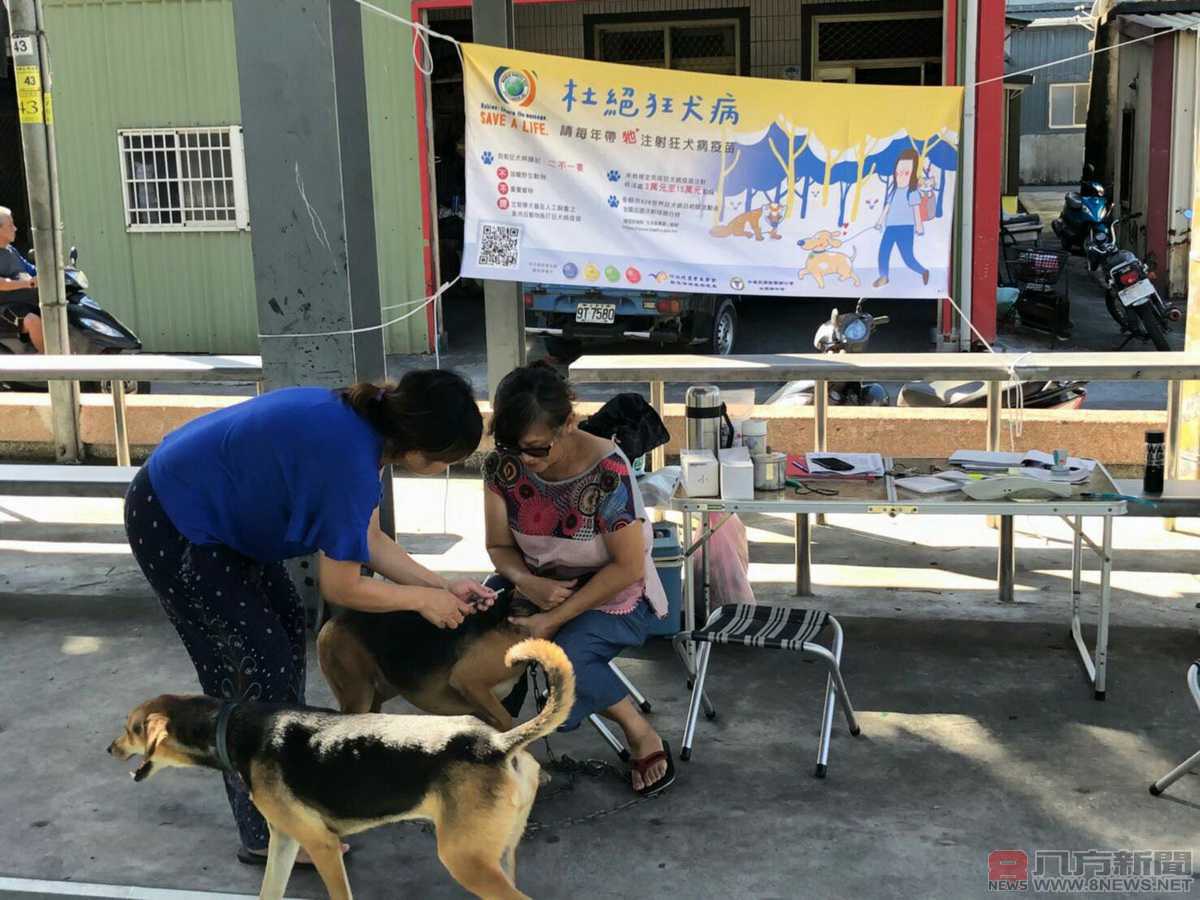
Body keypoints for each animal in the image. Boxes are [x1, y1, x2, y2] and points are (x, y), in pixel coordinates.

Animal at [106, 638, 571, 900]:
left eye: (130, 728)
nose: (110, 748)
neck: (231, 726)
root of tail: (497, 743)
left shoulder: (323, 846)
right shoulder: (285, 842)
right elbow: (269, 892)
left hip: (464, 858)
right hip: (497, 856)